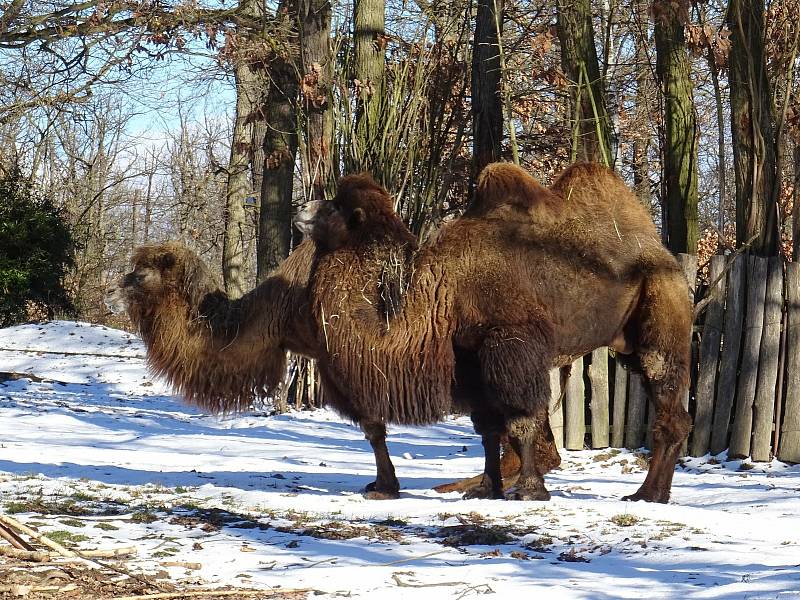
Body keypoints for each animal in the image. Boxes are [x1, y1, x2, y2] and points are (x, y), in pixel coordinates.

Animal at [300, 162, 692, 504]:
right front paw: (487, 489)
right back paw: (654, 493)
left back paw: (647, 494)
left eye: (336, 206)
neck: (441, 291)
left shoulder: (510, 344)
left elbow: (521, 420)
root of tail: (666, 258)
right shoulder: (470, 359)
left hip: (663, 312)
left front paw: (529, 492)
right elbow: (487, 429)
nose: (302, 207)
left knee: (669, 406)